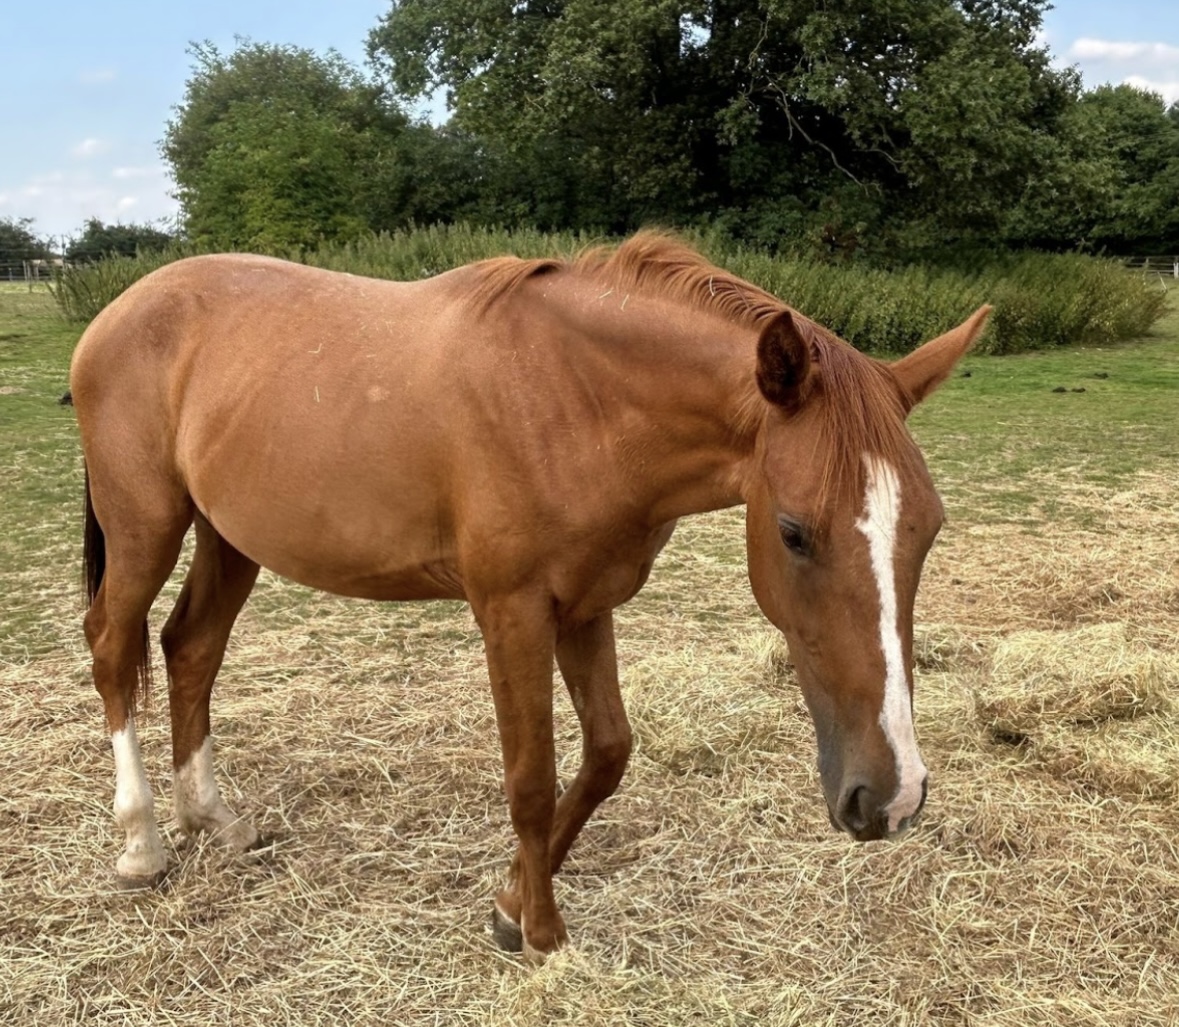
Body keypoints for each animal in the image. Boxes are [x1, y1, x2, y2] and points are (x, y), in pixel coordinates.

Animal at [68, 231, 990, 957]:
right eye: (795, 531)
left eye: (927, 530)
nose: (893, 795)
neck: (575, 398)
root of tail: (121, 311)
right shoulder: (511, 614)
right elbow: (531, 777)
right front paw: (542, 932)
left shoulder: (585, 604)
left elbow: (607, 754)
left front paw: (512, 903)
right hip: (146, 526)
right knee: (112, 647)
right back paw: (143, 844)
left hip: (229, 539)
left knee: (190, 648)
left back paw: (211, 818)